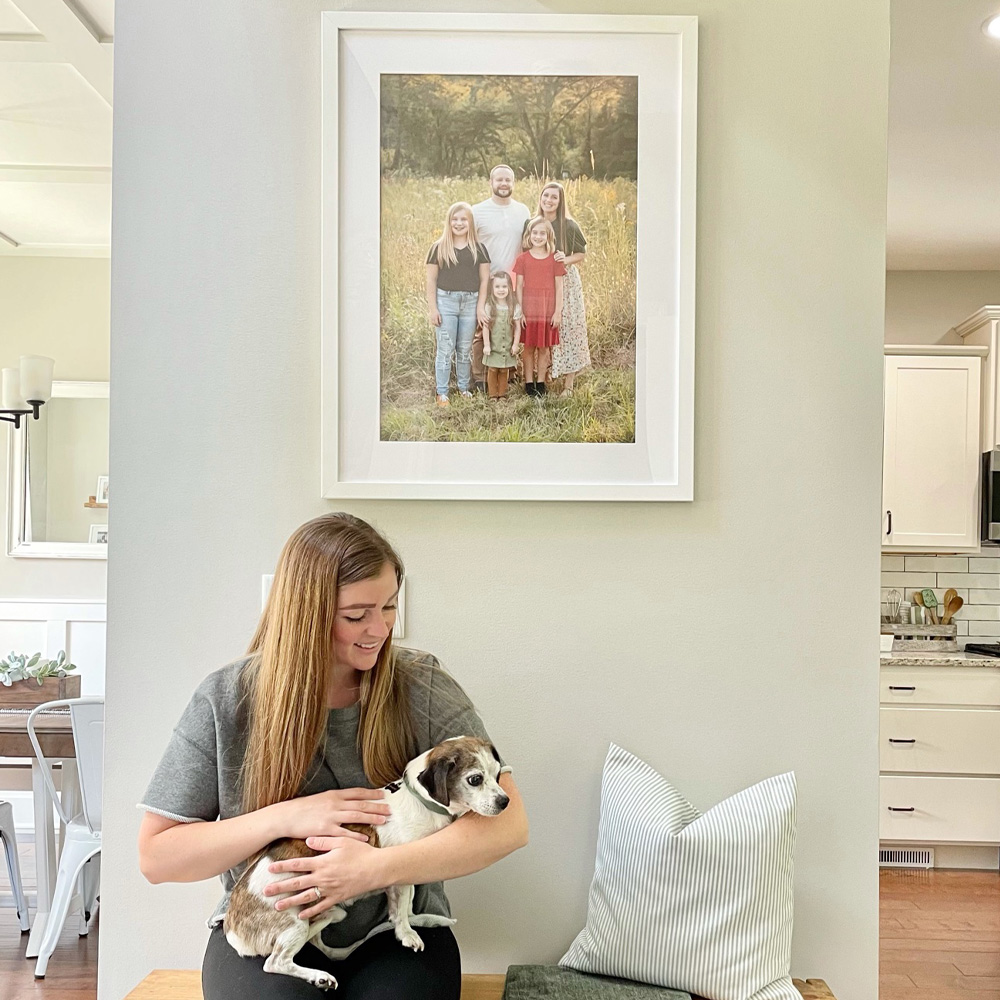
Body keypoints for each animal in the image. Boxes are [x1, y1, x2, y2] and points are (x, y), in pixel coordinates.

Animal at [225, 740, 508, 988]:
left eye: (497, 775)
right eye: (475, 779)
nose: (505, 802)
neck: (420, 802)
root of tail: (233, 931)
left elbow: (404, 907)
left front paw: (412, 921)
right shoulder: (398, 874)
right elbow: (401, 913)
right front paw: (407, 934)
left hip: (323, 917)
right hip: (293, 924)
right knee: (276, 962)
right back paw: (319, 976)